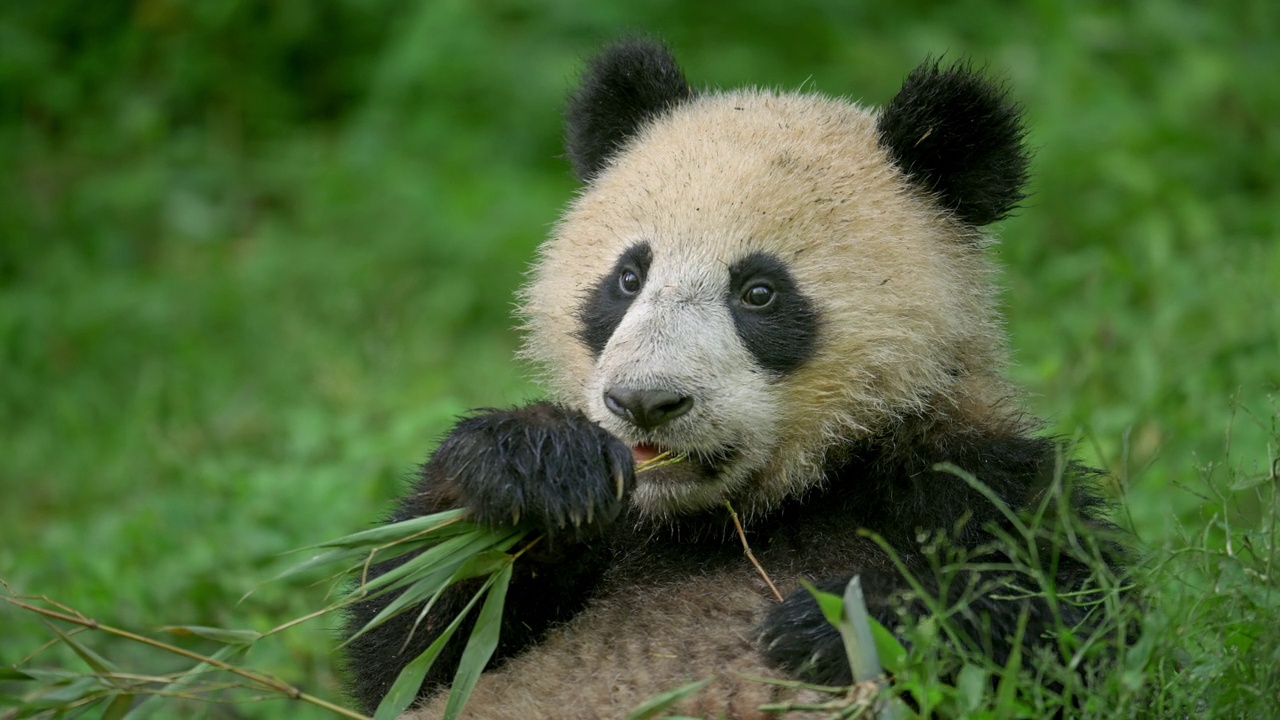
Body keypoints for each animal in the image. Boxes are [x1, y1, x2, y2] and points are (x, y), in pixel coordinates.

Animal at [345, 40, 1116, 717]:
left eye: (759, 293)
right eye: (628, 278)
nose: (645, 401)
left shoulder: (978, 480)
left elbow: (1065, 622)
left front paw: (829, 623)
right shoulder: (609, 535)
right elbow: (409, 647)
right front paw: (535, 463)